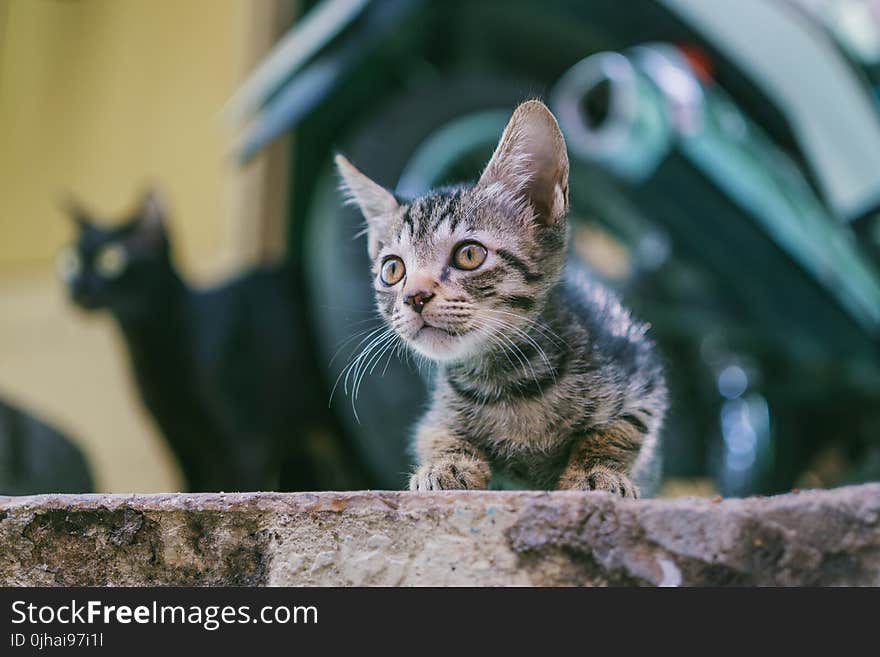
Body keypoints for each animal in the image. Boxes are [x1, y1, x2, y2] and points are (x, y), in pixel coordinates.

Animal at [58, 187, 358, 490]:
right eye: (70, 263)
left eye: (111, 260)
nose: (77, 287)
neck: (151, 346)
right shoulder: (178, 441)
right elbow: (191, 488)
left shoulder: (245, 444)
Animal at [336, 100, 668, 494]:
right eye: (392, 270)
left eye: (469, 255)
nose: (414, 297)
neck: (507, 382)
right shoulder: (435, 416)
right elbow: (437, 434)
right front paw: (446, 465)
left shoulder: (644, 383)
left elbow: (616, 430)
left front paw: (596, 472)